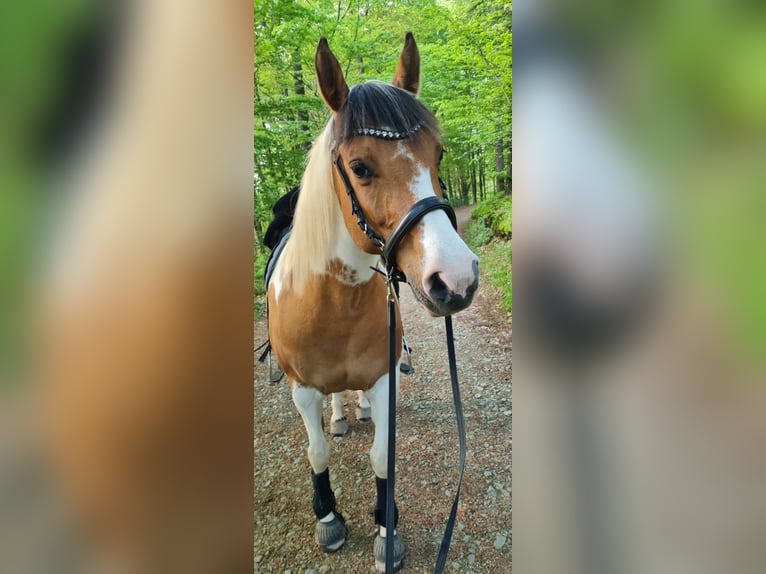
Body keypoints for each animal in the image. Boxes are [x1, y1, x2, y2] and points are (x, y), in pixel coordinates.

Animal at [266, 33, 480, 572]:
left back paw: (355, 408)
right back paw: (341, 416)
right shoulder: (301, 389)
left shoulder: (385, 378)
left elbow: (384, 455)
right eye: (360, 167)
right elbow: (317, 454)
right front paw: (328, 517)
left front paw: (387, 526)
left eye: (438, 155)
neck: (329, 304)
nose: (457, 279)